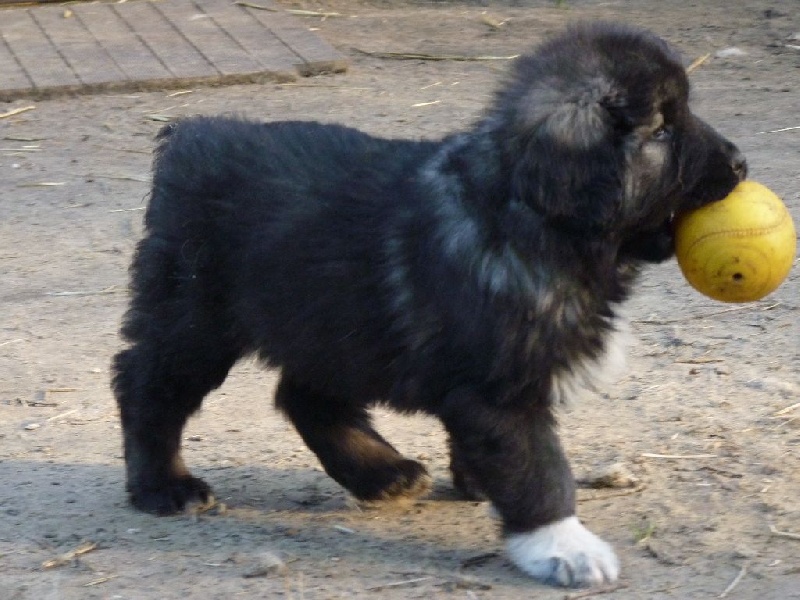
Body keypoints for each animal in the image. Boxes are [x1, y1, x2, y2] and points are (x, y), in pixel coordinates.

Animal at [115, 22, 748, 584]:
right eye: (661, 130)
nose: (741, 163)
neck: (528, 215)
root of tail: (191, 134)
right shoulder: (499, 389)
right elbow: (537, 465)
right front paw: (562, 545)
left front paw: (480, 484)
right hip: (195, 316)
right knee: (147, 385)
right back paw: (165, 486)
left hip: (336, 320)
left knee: (304, 395)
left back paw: (382, 474)